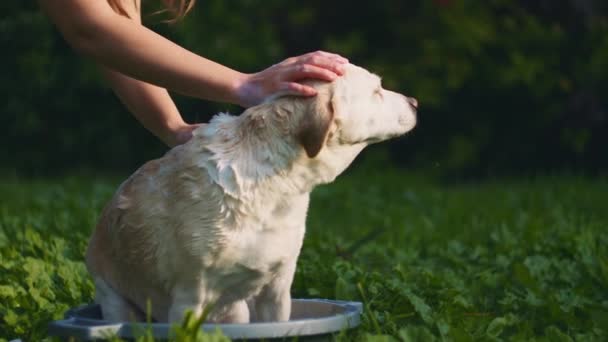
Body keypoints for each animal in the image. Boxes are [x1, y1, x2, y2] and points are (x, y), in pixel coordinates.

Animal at [85, 63, 418, 324]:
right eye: (377, 90)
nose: (415, 101)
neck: (275, 189)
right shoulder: (190, 298)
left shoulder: (277, 291)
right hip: (114, 298)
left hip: (237, 312)